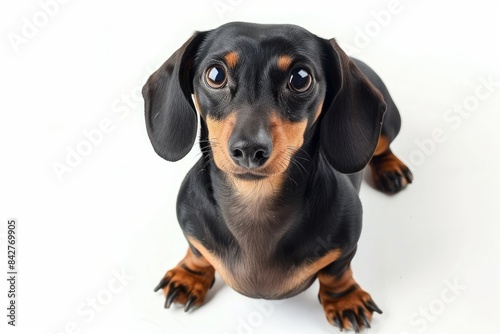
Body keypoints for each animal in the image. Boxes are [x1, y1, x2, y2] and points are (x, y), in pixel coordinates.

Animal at [143, 22, 412, 332]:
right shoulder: (190, 224)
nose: (249, 150)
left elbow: (336, 272)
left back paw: (391, 169)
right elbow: (198, 250)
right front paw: (188, 276)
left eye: (301, 78)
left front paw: (346, 298)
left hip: (386, 126)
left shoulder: (347, 244)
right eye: (215, 75)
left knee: (383, 147)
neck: (255, 198)